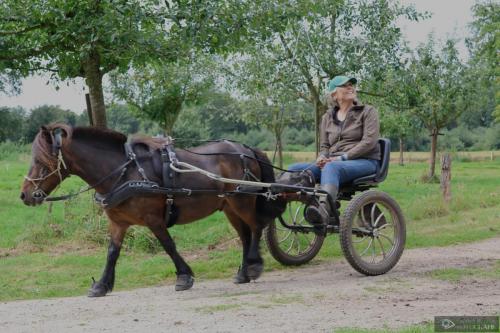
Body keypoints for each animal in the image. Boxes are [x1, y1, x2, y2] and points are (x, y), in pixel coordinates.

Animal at [19, 124, 284, 296]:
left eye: (42, 161)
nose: (25, 195)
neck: (124, 172)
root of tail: (247, 150)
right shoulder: (118, 223)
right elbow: (112, 252)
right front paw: (102, 285)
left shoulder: (153, 219)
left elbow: (168, 245)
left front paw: (184, 276)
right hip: (229, 206)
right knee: (245, 235)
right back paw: (243, 273)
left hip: (242, 200)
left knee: (256, 227)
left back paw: (253, 266)